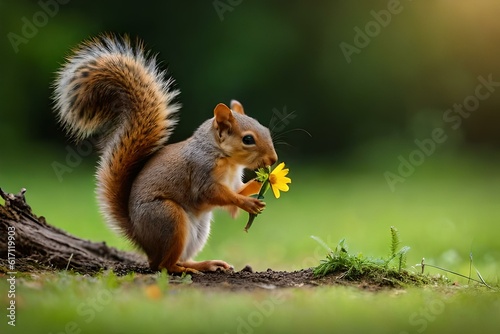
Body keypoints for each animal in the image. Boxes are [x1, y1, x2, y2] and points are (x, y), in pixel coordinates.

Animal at [53, 34, 280, 274]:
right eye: (248, 139)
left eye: (265, 129)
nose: (273, 160)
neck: (226, 159)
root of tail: (142, 240)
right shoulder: (201, 172)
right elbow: (214, 194)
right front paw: (249, 203)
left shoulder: (234, 180)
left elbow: (236, 193)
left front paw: (261, 182)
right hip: (169, 218)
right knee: (163, 265)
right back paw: (183, 269)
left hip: (197, 232)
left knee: (176, 259)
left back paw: (206, 264)